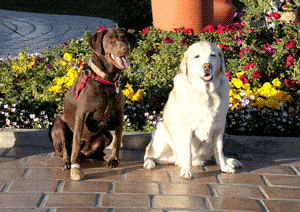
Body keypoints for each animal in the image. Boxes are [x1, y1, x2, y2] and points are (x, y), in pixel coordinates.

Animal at [142, 40, 241, 178]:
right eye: (197, 56)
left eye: (213, 55)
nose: (207, 66)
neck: (206, 93)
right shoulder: (186, 129)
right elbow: (187, 152)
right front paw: (187, 171)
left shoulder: (219, 129)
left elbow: (219, 151)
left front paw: (224, 167)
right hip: (161, 135)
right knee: (149, 154)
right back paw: (149, 163)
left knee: (215, 155)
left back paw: (230, 161)